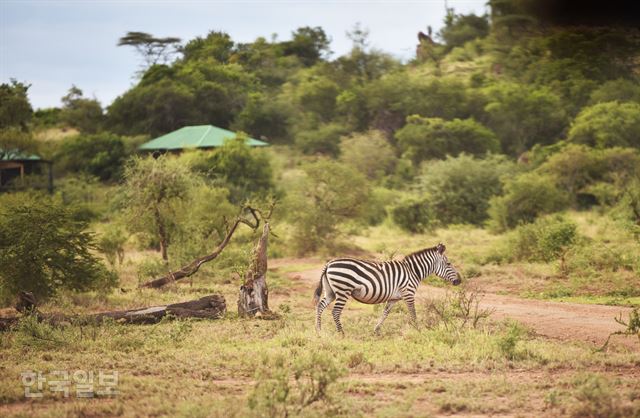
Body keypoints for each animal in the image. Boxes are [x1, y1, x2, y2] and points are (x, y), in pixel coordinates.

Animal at [314, 243, 460, 334]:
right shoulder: (408, 294)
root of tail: (329, 263)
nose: (459, 281)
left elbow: (385, 313)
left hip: (331, 292)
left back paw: (319, 330)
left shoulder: (394, 298)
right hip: (343, 290)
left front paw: (376, 330)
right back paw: (341, 333)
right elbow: (413, 313)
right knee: (336, 312)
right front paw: (418, 330)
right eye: (448, 263)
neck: (413, 271)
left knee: (320, 306)